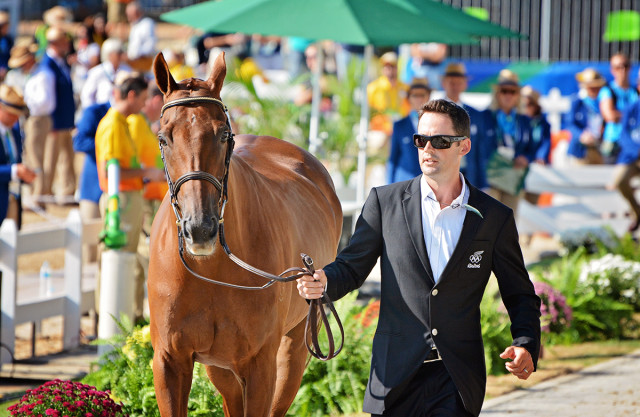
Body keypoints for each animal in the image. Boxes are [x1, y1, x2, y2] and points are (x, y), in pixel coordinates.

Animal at [148, 52, 344, 416]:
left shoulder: (260, 365)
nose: (200, 229)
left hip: (293, 349)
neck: (210, 271)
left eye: (224, 133)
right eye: (164, 138)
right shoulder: (170, 362)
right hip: (221, 367)